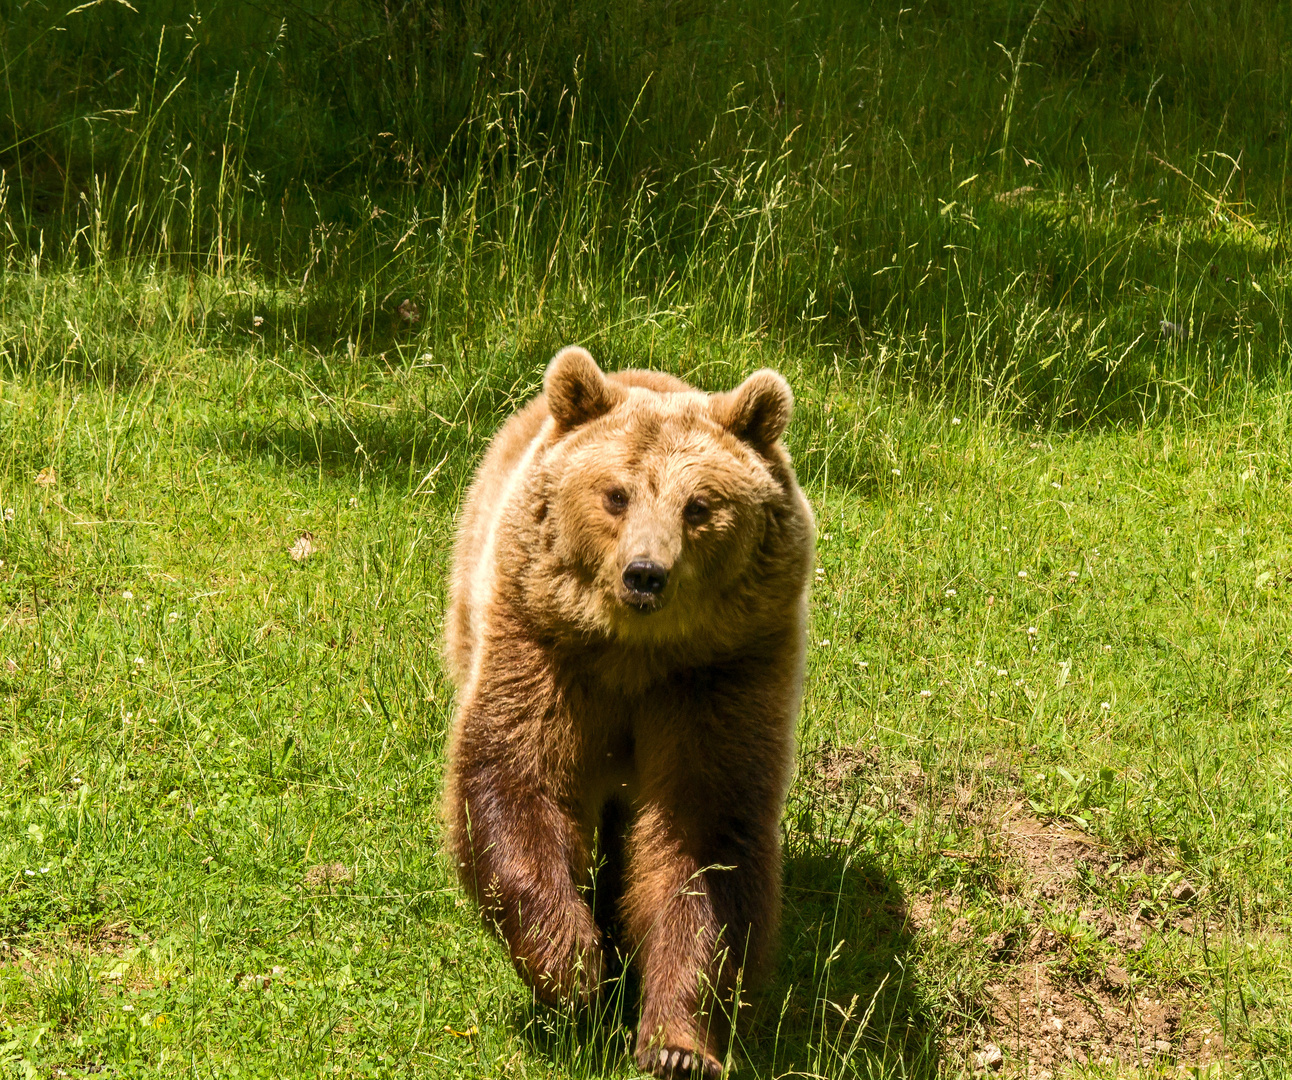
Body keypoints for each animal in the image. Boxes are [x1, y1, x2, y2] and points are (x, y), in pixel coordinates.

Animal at [441, 348, 806, 1080]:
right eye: (616, 494)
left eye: (700, 506)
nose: (645, 573)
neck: (634, 654)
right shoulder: (544, 648)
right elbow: (515, 774)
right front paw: (572, 963)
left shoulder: (717, 679)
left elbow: (700, 844)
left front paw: (678, 1044)